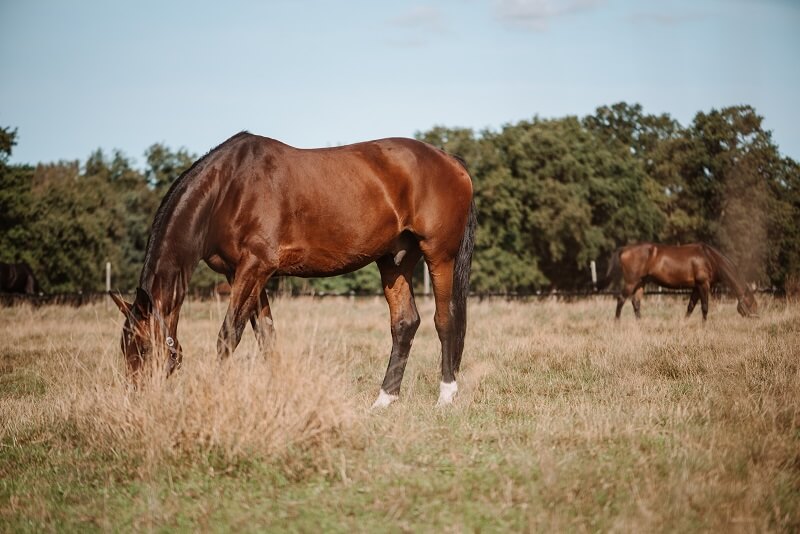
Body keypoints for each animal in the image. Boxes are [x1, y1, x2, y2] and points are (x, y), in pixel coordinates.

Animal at [111, 132, 476, 408]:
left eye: (143, 347)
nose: (137, 399)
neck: (227, 190)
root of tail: (450, 160)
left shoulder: (254, 267)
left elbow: (228, 336)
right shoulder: (245, 274)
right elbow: (266, 336)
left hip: (439, 255)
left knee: (445, 320)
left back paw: (446, 397)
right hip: (394, 260)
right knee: (404, 323)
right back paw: (384, 400)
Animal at [604, 244, 760, 322]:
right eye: (751, 303)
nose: (756, 318)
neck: (710, 258)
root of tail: (625, 249)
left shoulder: (696, 287)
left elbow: (690, 307)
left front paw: (684, 324)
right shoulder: (703, 285)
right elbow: (704, 307)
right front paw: (704, 326)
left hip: (640, 283)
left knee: (636, 303)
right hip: (631, 282)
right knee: (621, 299)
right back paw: (617, 323)